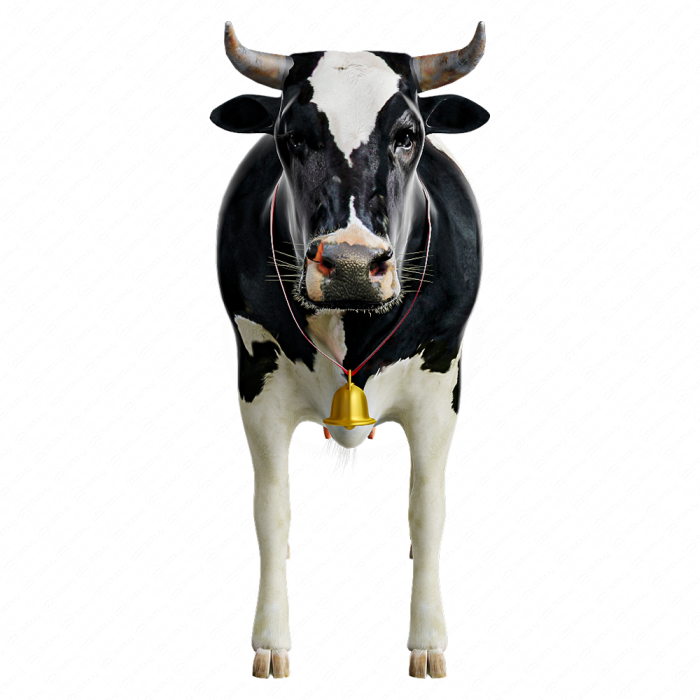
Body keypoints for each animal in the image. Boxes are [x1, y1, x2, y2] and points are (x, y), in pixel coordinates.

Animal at [211, 19, 489, 686]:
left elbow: (426, 515)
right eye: (293, 136)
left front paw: (427, 644)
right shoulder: (258, 388)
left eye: (407, 135)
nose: (353, 265)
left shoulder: (439, 390)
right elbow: (272, 515)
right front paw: (270, 643)